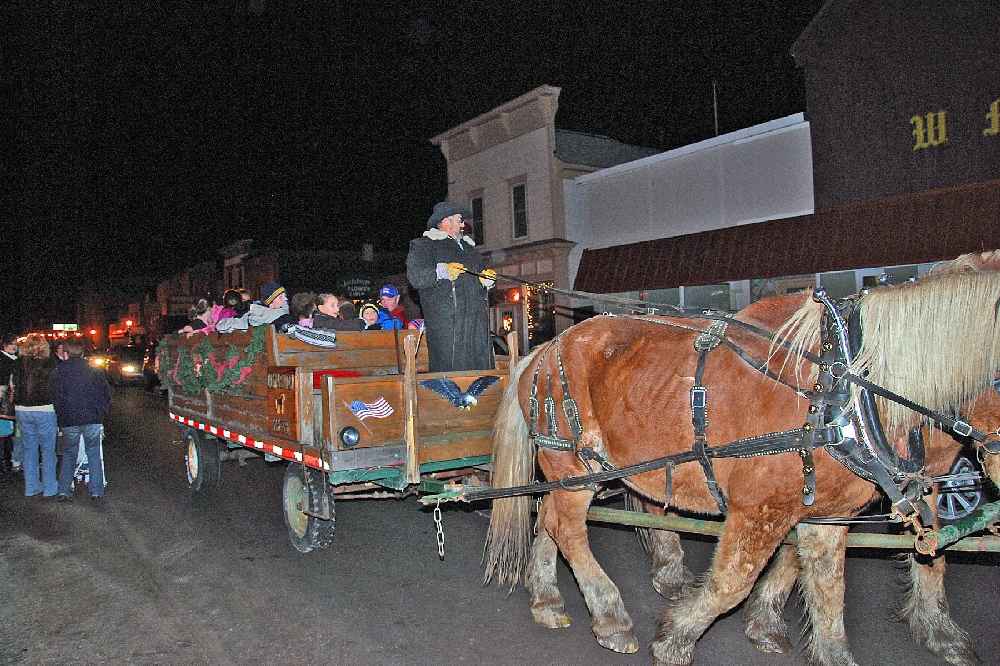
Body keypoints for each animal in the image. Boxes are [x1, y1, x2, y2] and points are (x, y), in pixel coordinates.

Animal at [482, 250, 1000, 664]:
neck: (840, 385)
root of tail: (544, 349)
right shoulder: (758, 509)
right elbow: (733, 580)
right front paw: (675, 637)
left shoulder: (827, 513)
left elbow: (833, 588)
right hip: (576, 464)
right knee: (566, 528)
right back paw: (611, 616)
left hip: (572, 470)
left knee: (550, 519)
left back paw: (548, 599)